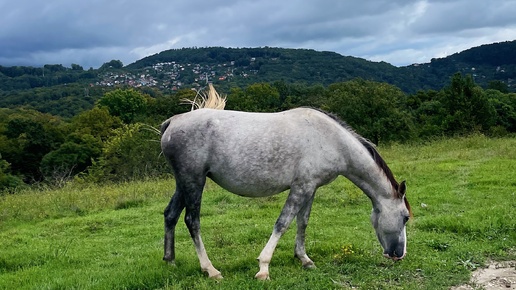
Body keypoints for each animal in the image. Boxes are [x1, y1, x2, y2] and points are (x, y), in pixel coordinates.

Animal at [161, 107, 412, 280]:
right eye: (405, 217)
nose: (399, 254)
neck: (331, 140)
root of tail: (172, 122)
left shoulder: (310, 188)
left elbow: (302, 222)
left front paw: (304, 259)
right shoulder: (300, 188)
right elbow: (283, 223)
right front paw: (263, 268)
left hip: (184, 183)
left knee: (170, 215)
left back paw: (170, 260)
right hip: (194, 181)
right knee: (192, 221)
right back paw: (211, 270)